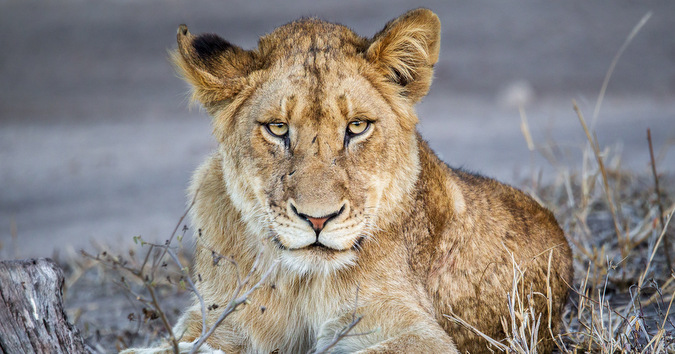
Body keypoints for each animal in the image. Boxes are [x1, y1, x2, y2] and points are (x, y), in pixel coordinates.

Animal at [125, 8, 572, 354]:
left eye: (357, 127)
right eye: (277, 128)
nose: (317, 220)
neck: (299, 284)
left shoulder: (417, 333)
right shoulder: (218, 320)